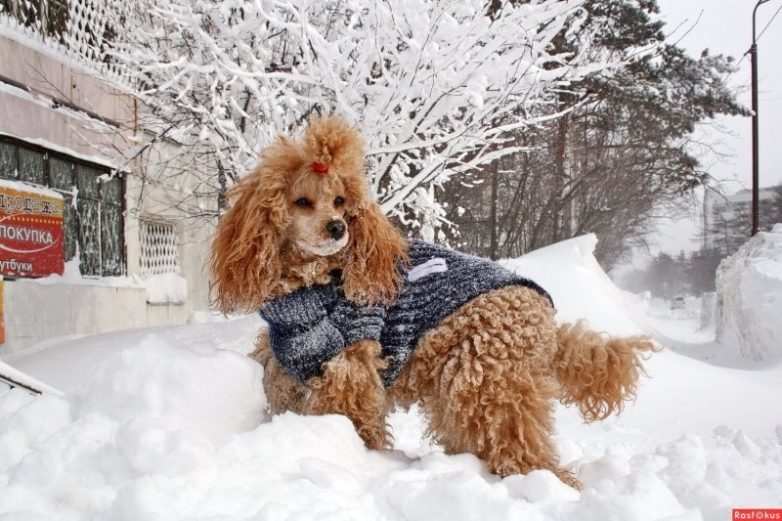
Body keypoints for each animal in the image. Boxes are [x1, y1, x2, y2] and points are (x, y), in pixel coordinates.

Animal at [208, 116, 656, 486]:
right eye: (302, 201)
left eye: (340, 202)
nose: (337, 227)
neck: (312, 288)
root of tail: (544, 314)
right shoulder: (287, 364)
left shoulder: (350, 367)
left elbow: (354, 418)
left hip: (490, 378)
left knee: (520, 441)